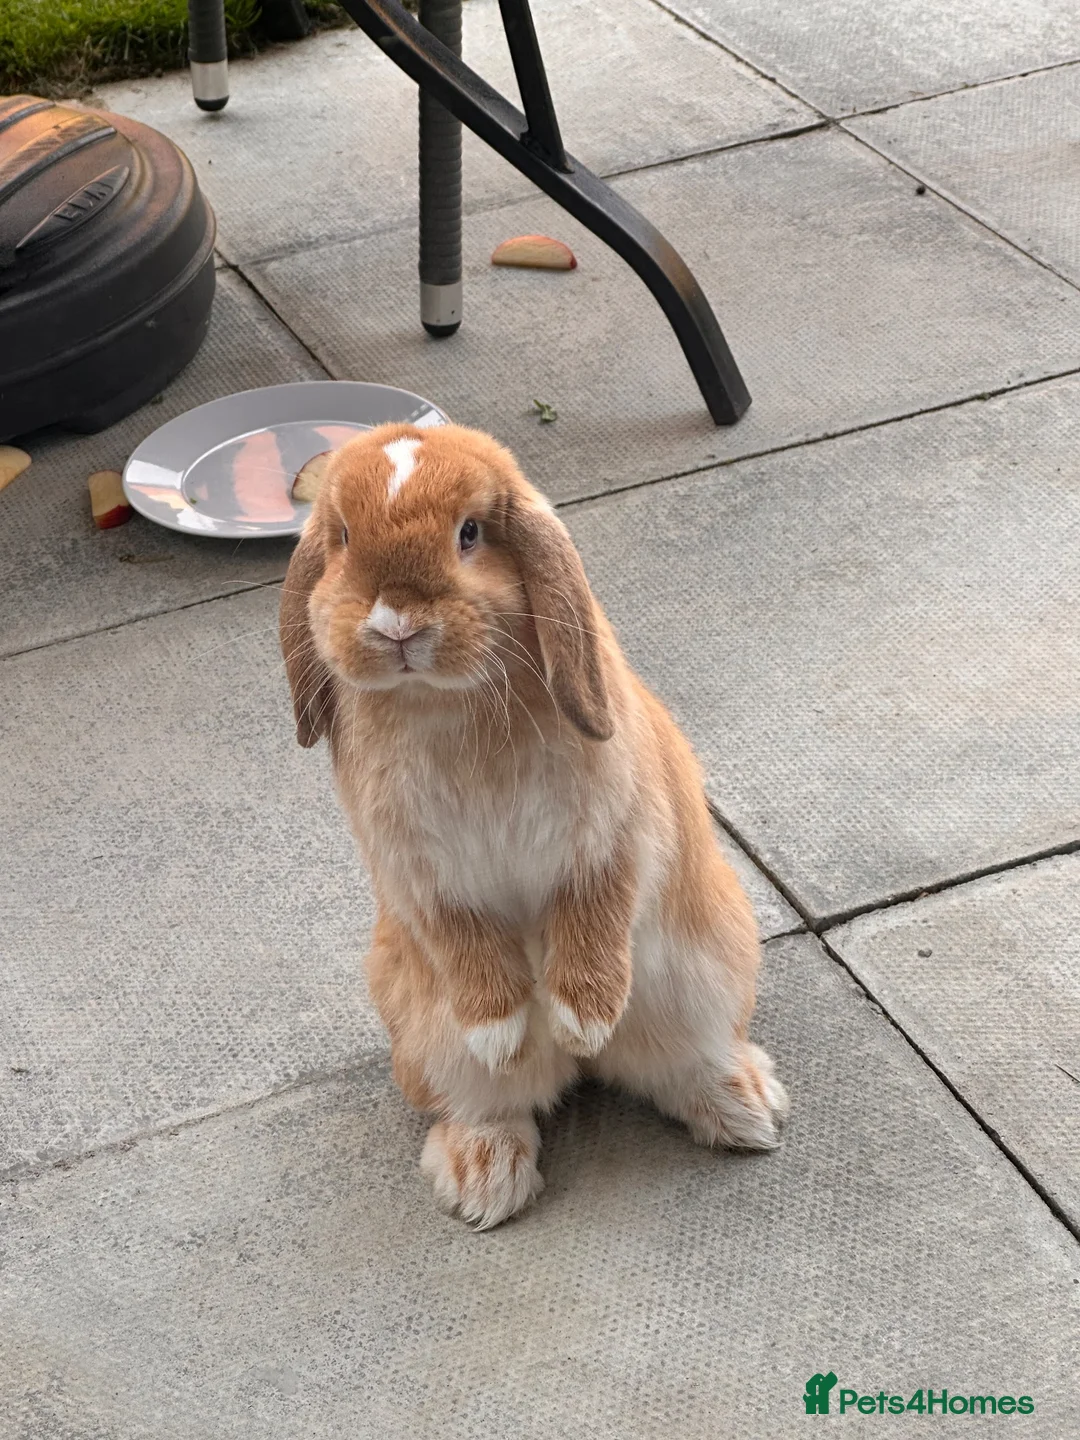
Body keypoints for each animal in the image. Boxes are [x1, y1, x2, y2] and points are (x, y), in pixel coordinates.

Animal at [280, 422, 788, 1229]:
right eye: (342, 538)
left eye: (469, 532)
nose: (395, 624)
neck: (445, 700)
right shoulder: (423, 879)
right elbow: (464, 943)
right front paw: (504, 1032)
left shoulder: (610, 838)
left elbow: (594, 912)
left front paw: (578, 1017)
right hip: (424, 1036)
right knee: (488, 1104)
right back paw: (485, 1179)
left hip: (710, 977)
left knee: (682, 1063)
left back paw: (743, 1110)